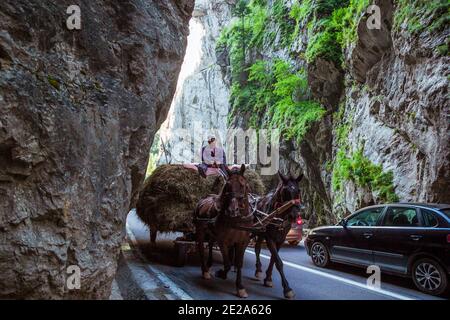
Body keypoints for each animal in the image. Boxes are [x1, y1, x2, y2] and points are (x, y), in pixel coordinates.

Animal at [192, 164, 253, 298]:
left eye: (243, 185)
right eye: (227, 186)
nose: (232, 211)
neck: (237, 220)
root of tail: (205, 197)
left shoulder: (242, 242)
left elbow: (238, 263)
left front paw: (240, 287)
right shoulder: (223, 241)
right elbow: (227, 263)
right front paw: (221, 273)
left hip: (211, 233)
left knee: (210, 244)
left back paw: (209, 264)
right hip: (200, 231)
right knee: (200, 248)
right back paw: (205, 270)